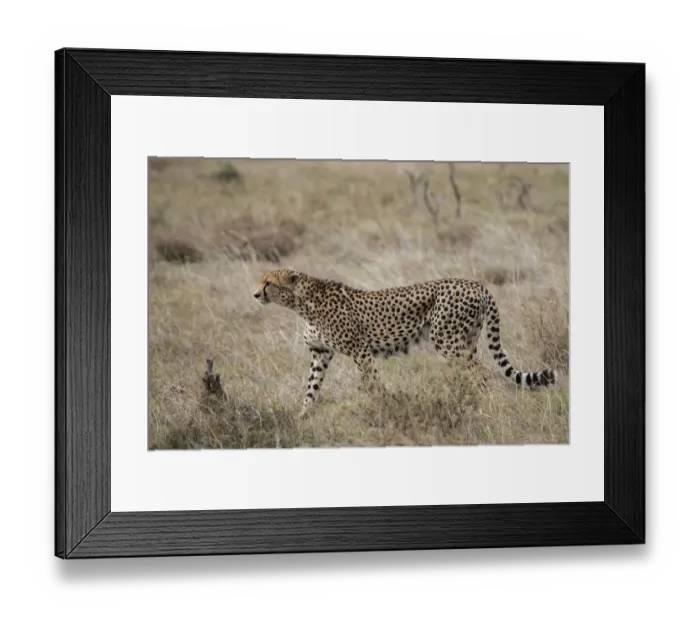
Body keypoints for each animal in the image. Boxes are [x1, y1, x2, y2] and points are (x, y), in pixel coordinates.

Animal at [253, 268, 557, 418]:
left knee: (483, 375)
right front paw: (302, 416)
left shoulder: (360, 350)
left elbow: (373, 383)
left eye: (268, 283)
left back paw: (485, 406)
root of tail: (476, 284)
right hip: (466, 341)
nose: (255, 294)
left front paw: (384, 408)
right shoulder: (320, 353)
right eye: (261, 281)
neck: (301, 302)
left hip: (447, 341)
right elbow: (311, 388)